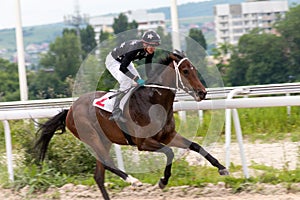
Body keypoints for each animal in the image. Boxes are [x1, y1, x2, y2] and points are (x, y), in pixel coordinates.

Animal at [34, 51, 229, 200]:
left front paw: (222, 168)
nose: (202, 93)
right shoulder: (143, 143)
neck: (153, 101)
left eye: (194, 69)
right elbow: (170, 153)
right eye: (186, 71)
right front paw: (162, 181)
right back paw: (133, 181)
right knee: (108, 163)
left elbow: (196, 146)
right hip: (92, 138)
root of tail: (70, 110)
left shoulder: (168, 136)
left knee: (99, 176)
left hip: (103, 140)